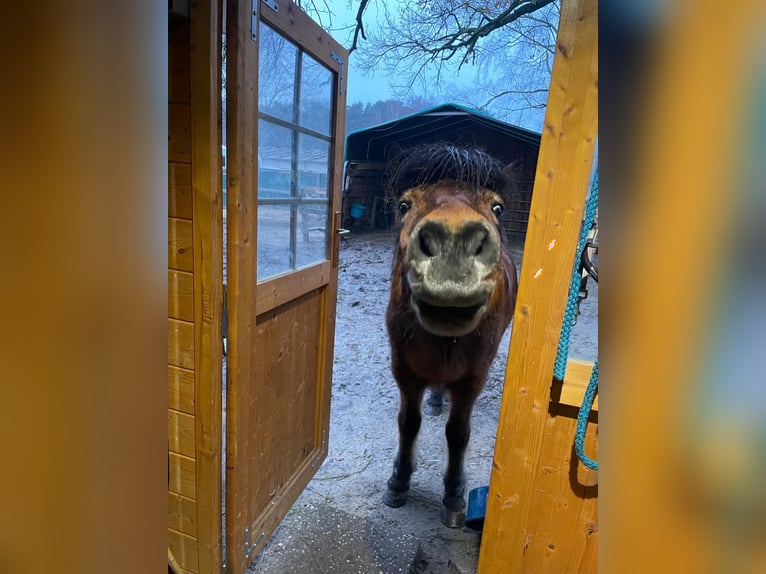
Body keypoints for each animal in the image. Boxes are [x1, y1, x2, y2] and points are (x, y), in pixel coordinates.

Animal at [380, 145, 520, 532]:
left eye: (497, 207)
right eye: (404, 205)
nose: (453, 244)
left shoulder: (472, 380)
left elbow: (458, 434)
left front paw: (455, 496)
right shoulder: (404, 372)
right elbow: (408, 423)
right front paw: (399, 482)